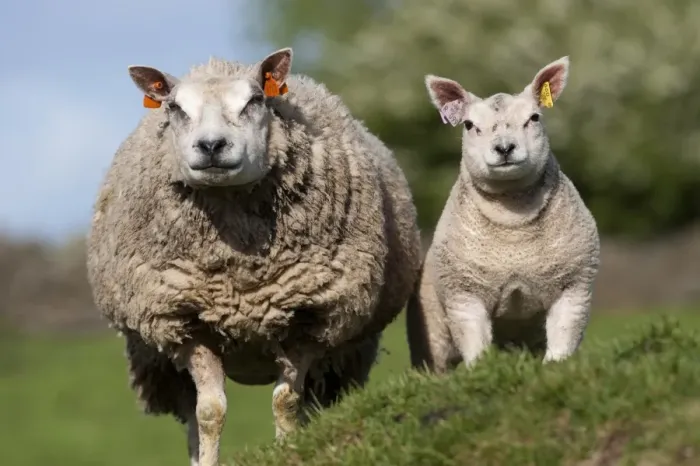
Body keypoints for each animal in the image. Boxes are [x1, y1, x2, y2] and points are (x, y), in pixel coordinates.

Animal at [86, 47, 422, 466]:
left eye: (255, 101)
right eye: (175, 107)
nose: (211, 146)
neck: (240, 274)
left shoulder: (310, 316)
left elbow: (287, 402)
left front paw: (289, 450)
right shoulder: (186, 321)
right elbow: (209, 411)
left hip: (344, 356)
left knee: (314, 403)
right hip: (158, 360)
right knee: (191, 415)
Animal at [406, 56, 600, 373]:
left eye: (534, 118)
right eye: (469, 125)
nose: (504, 148)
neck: (513, 227)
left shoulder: (573, 285)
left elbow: (563, 333)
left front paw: (556, 366)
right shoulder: (464, 294)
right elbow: (474, 341)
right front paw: (481, 371)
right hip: (431, 332)